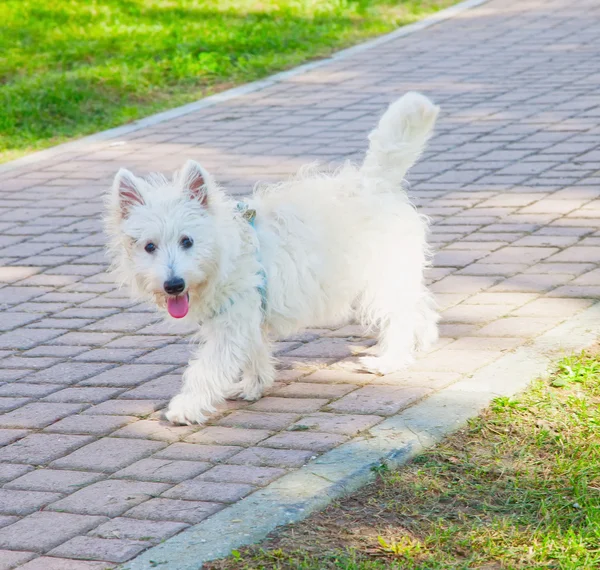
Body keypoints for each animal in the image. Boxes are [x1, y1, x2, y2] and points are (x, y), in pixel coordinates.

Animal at [105, 92, 438, 422]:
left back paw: (391, 360)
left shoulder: (233, 320)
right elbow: (254, 352)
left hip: (383, 278)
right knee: (419, 308)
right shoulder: (247, 315)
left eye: (187, 240)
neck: (226, 250)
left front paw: (186, 407)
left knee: (401, 315)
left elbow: (207, 368)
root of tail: (375, 182)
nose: (173, 285)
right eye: (149, 246)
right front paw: (254, 385)